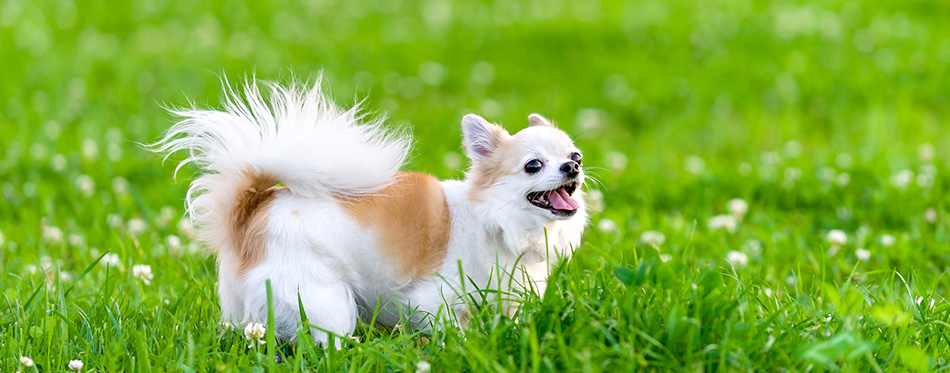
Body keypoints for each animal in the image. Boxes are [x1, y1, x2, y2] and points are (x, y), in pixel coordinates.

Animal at [154, 78, 588, 346]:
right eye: (533, 165)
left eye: (575, 155)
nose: (573, 167)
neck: (499, 223)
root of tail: (252, 209)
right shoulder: (432, 300)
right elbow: (452, 330)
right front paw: (460, 349)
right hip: (323, 298)